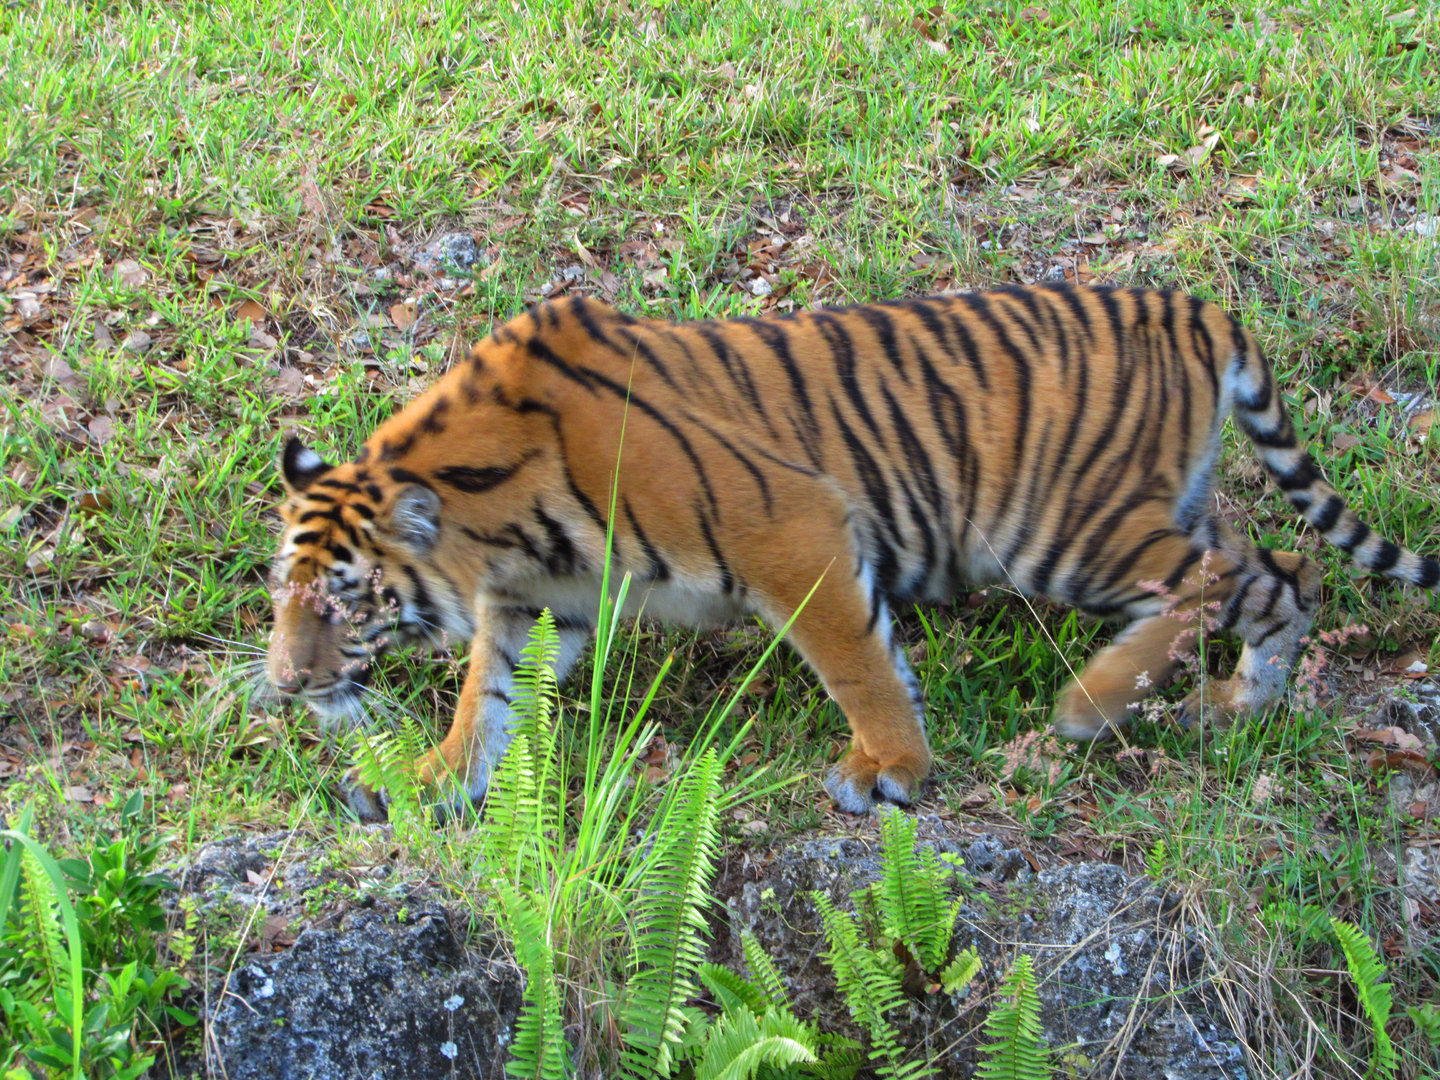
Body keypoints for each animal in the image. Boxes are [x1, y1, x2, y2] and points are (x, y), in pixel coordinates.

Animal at [265, 284, 1439, 820]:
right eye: (286, 593)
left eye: (344, 601)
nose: (281, 686)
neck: (499, 518)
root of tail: (1190, 303)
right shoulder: (540, 598)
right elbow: (491, 695)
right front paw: (432, 780)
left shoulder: (795, 526)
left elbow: (855, 659)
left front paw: (892, 772)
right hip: (1154, 511)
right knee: (1273, 570)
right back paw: (1232, 706)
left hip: (1065, 534)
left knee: (1238, 579)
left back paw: (1094, 706)